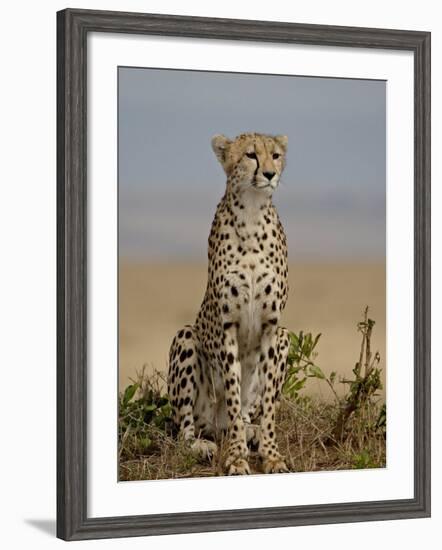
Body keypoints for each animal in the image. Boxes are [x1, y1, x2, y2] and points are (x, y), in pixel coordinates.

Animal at [167, 132, 292, 476]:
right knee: (185, 430)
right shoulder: (228, 327)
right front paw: (236, 458)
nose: (269, 174)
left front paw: (271, 455)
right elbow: (234, 395)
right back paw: (203, 446)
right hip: (186, 337)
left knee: (250, 414)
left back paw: (252, 432)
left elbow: (268, 405)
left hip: (286, 337)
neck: (251, 214)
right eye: (250, 155)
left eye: (275, 155)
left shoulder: (272, 327)